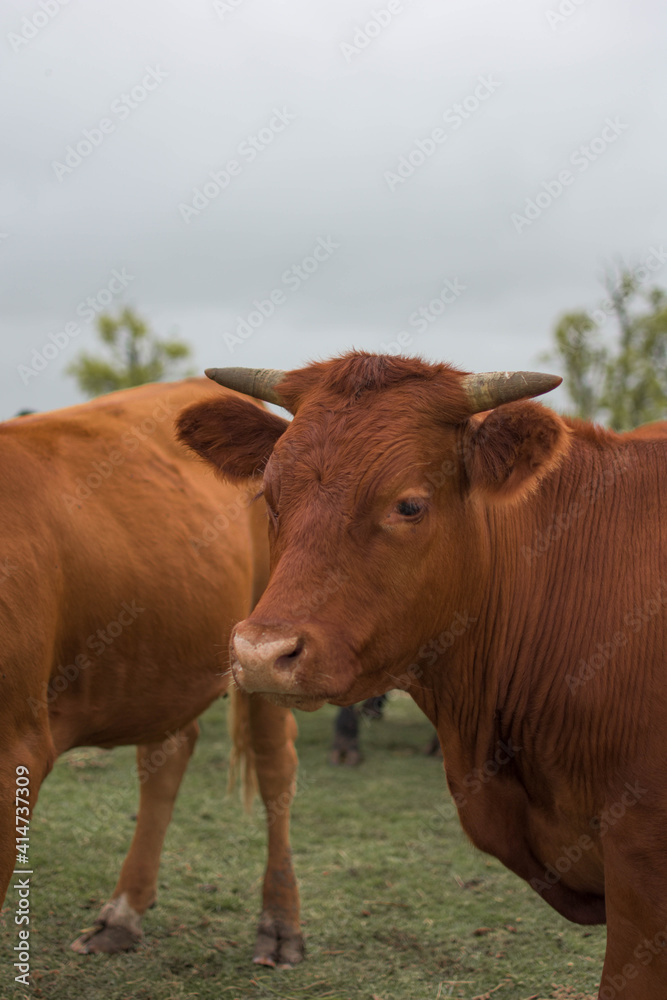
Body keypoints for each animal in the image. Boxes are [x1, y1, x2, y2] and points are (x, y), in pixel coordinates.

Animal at [0, 380, 302, 968]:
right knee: (167, 755)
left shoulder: (14, 746)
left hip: (268, 648)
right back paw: (123, 914)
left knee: (275, 765)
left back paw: (279, 924)